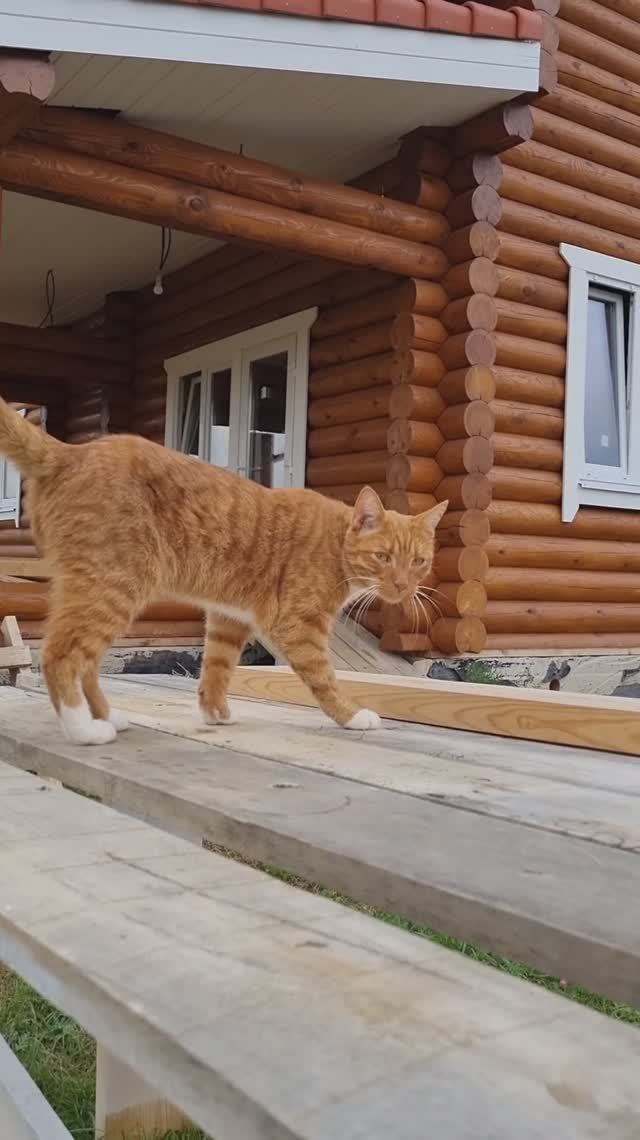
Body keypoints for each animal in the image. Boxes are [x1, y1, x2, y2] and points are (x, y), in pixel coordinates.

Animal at [0, 397, 447, 745]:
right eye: (384, 557)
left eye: (418, 562)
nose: (403, 586)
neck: (336, 543)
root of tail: (70, 451)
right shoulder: (298, 625)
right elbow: (324, 676)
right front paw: (353, 716)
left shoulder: (229, 618)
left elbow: (216, 667)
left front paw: (215, 713)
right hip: (114, 586)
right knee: (60, 654)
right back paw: (84, 729)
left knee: (87, 660)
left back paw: (107, 717)